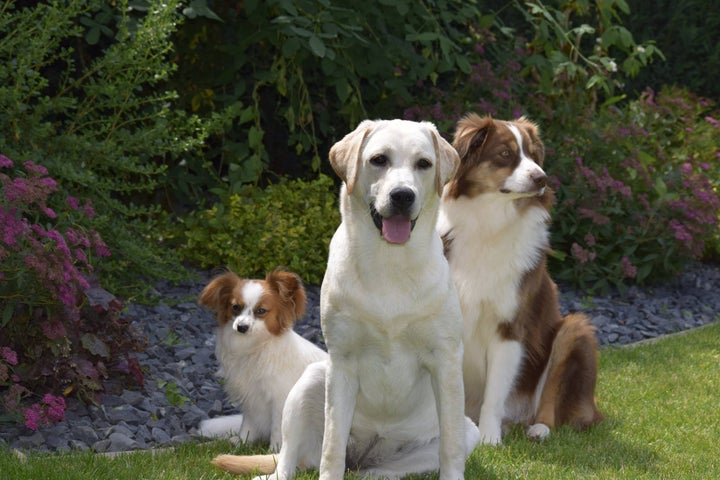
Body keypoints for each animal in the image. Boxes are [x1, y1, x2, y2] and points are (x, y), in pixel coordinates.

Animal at [194, 268, 324, 452]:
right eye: (235, 307)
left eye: (261, 311)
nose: (241, 327)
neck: (255, 347)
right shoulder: (251, 399)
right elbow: (247, 426)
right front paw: (241, 444)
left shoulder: (280, 400)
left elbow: (278, 430)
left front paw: (274, 452)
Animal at [210, 118, 478, 478]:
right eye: (379, 159)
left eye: (424, 163)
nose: (402, 195)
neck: (389, 264)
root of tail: (365, 455)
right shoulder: (342, 362)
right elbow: (332, 446)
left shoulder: (446, 360)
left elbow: (450, 447)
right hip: (310, 381)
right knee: (289, 458)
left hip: (463, 431)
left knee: (387, 470)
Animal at [438, 114, 600, 444]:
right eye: (505, 153)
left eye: (533, 155)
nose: (542, 178)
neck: (489, 225)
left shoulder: (511, 328)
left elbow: (495, 393)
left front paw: (489, 440)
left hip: (575, 329)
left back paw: (538, 428)